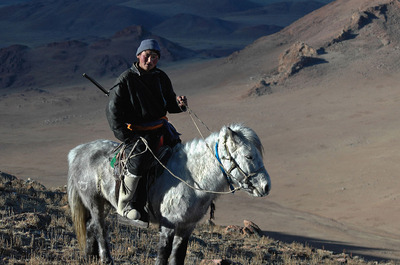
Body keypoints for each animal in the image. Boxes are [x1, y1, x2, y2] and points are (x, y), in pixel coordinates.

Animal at [67, 124, 270, 264]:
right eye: (249, 156)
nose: (266, 186)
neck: (192, 178)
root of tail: (77, 151)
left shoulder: (187, 227)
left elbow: (177, 257)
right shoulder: (168, 225)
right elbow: (163, 257)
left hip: (106, 203)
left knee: (91, 226)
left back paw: (89, 257)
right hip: (93, 201)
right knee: (99, 228)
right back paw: (105, 259)